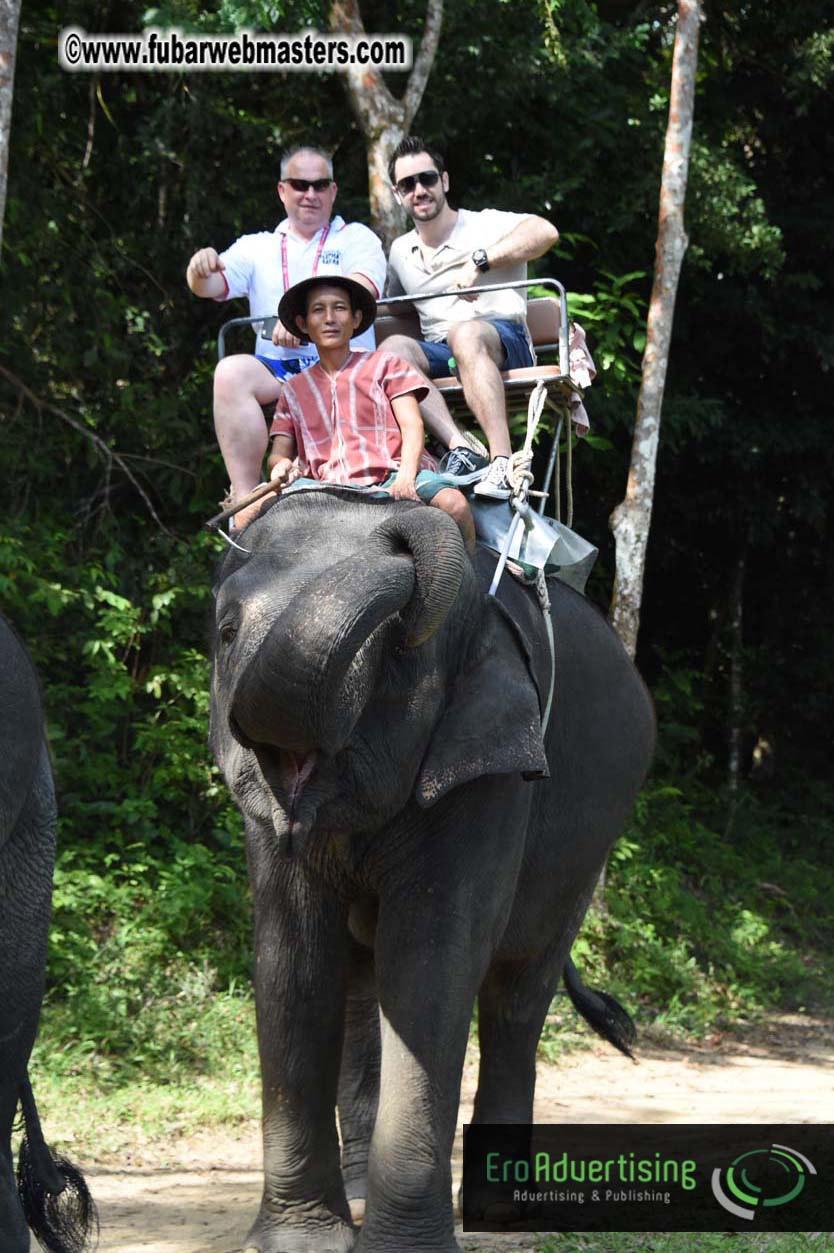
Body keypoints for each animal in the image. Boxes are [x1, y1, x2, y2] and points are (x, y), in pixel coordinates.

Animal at [209, 486, 655, 1253]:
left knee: (517, 994)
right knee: (363, 982)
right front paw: (302, 1243)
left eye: (396, 652)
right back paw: (362, 1191)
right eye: (228, 631)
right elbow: (293, 958)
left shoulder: (490, 771)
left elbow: (429, 960)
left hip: (591, 840)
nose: (398, 511)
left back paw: (501, 1212)